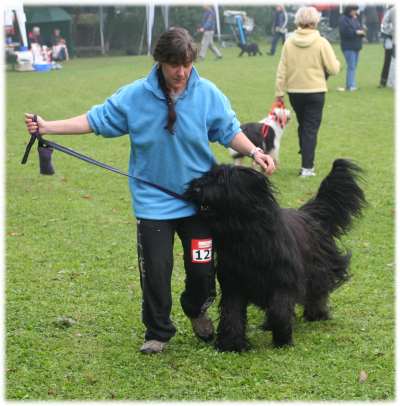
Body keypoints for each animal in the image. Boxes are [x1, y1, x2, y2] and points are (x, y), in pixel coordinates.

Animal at [184, 159, 366, 352]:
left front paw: (282, 339)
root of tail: (309, 214)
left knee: (317, 292)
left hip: (317, 269)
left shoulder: (283, 280)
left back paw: (316, 314)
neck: (245, 236)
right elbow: (232, 313)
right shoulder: (234, 282)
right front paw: (231, 344)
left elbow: (279, 309)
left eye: (220, 180)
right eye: (207, 176)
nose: (195, 187)